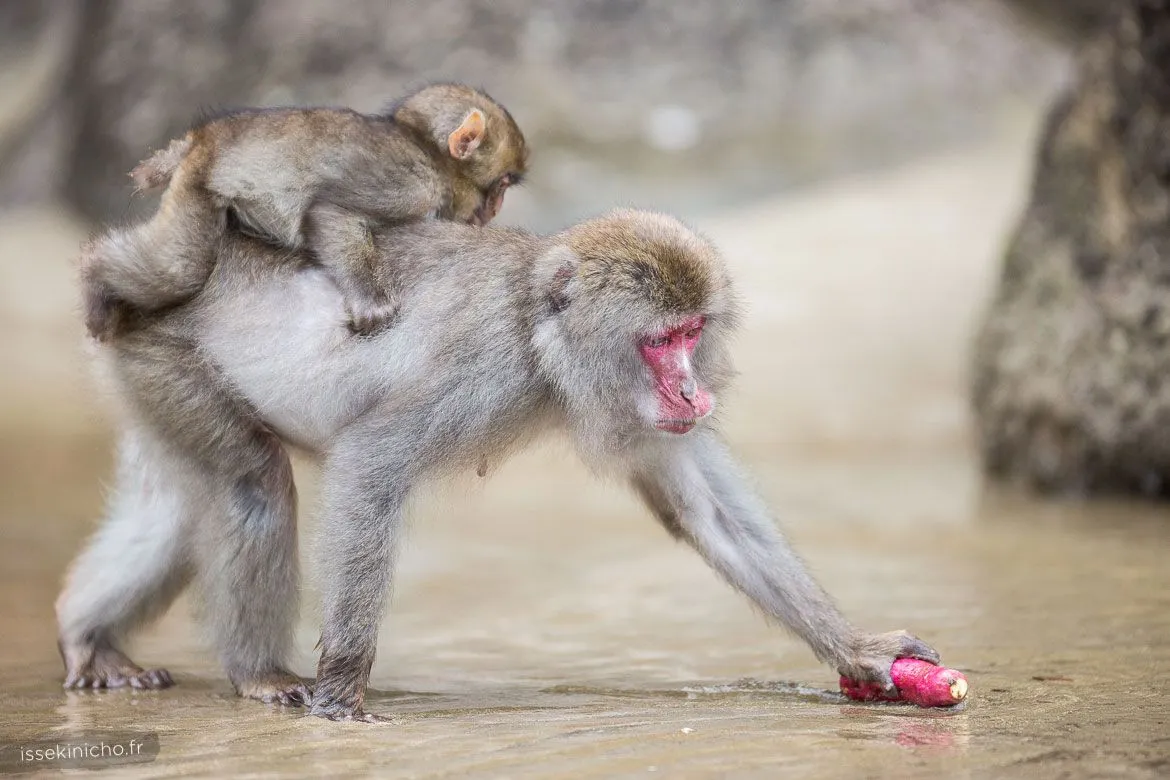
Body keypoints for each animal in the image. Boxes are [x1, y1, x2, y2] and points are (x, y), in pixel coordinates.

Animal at [57, 207, 940, 721]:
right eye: (661, 341)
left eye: (694, 331)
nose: (695, 390)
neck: (543, 335)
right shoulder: (487, 372)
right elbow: (373, 462)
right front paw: (342, 686)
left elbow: (708, 515)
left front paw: (857, 649)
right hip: (172, 358)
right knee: (253, 486)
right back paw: (256, 674)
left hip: (147, 371)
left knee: (179, 509)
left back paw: (87, 639)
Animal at [80, 82, 528, 341]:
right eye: (504, 183)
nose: (494, 209)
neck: (424, 149)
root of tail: (203, 136)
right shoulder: (409, 184)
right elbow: (328, 212)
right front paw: (371, 301)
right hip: (199, 179)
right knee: (180, 270)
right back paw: (95, 272)